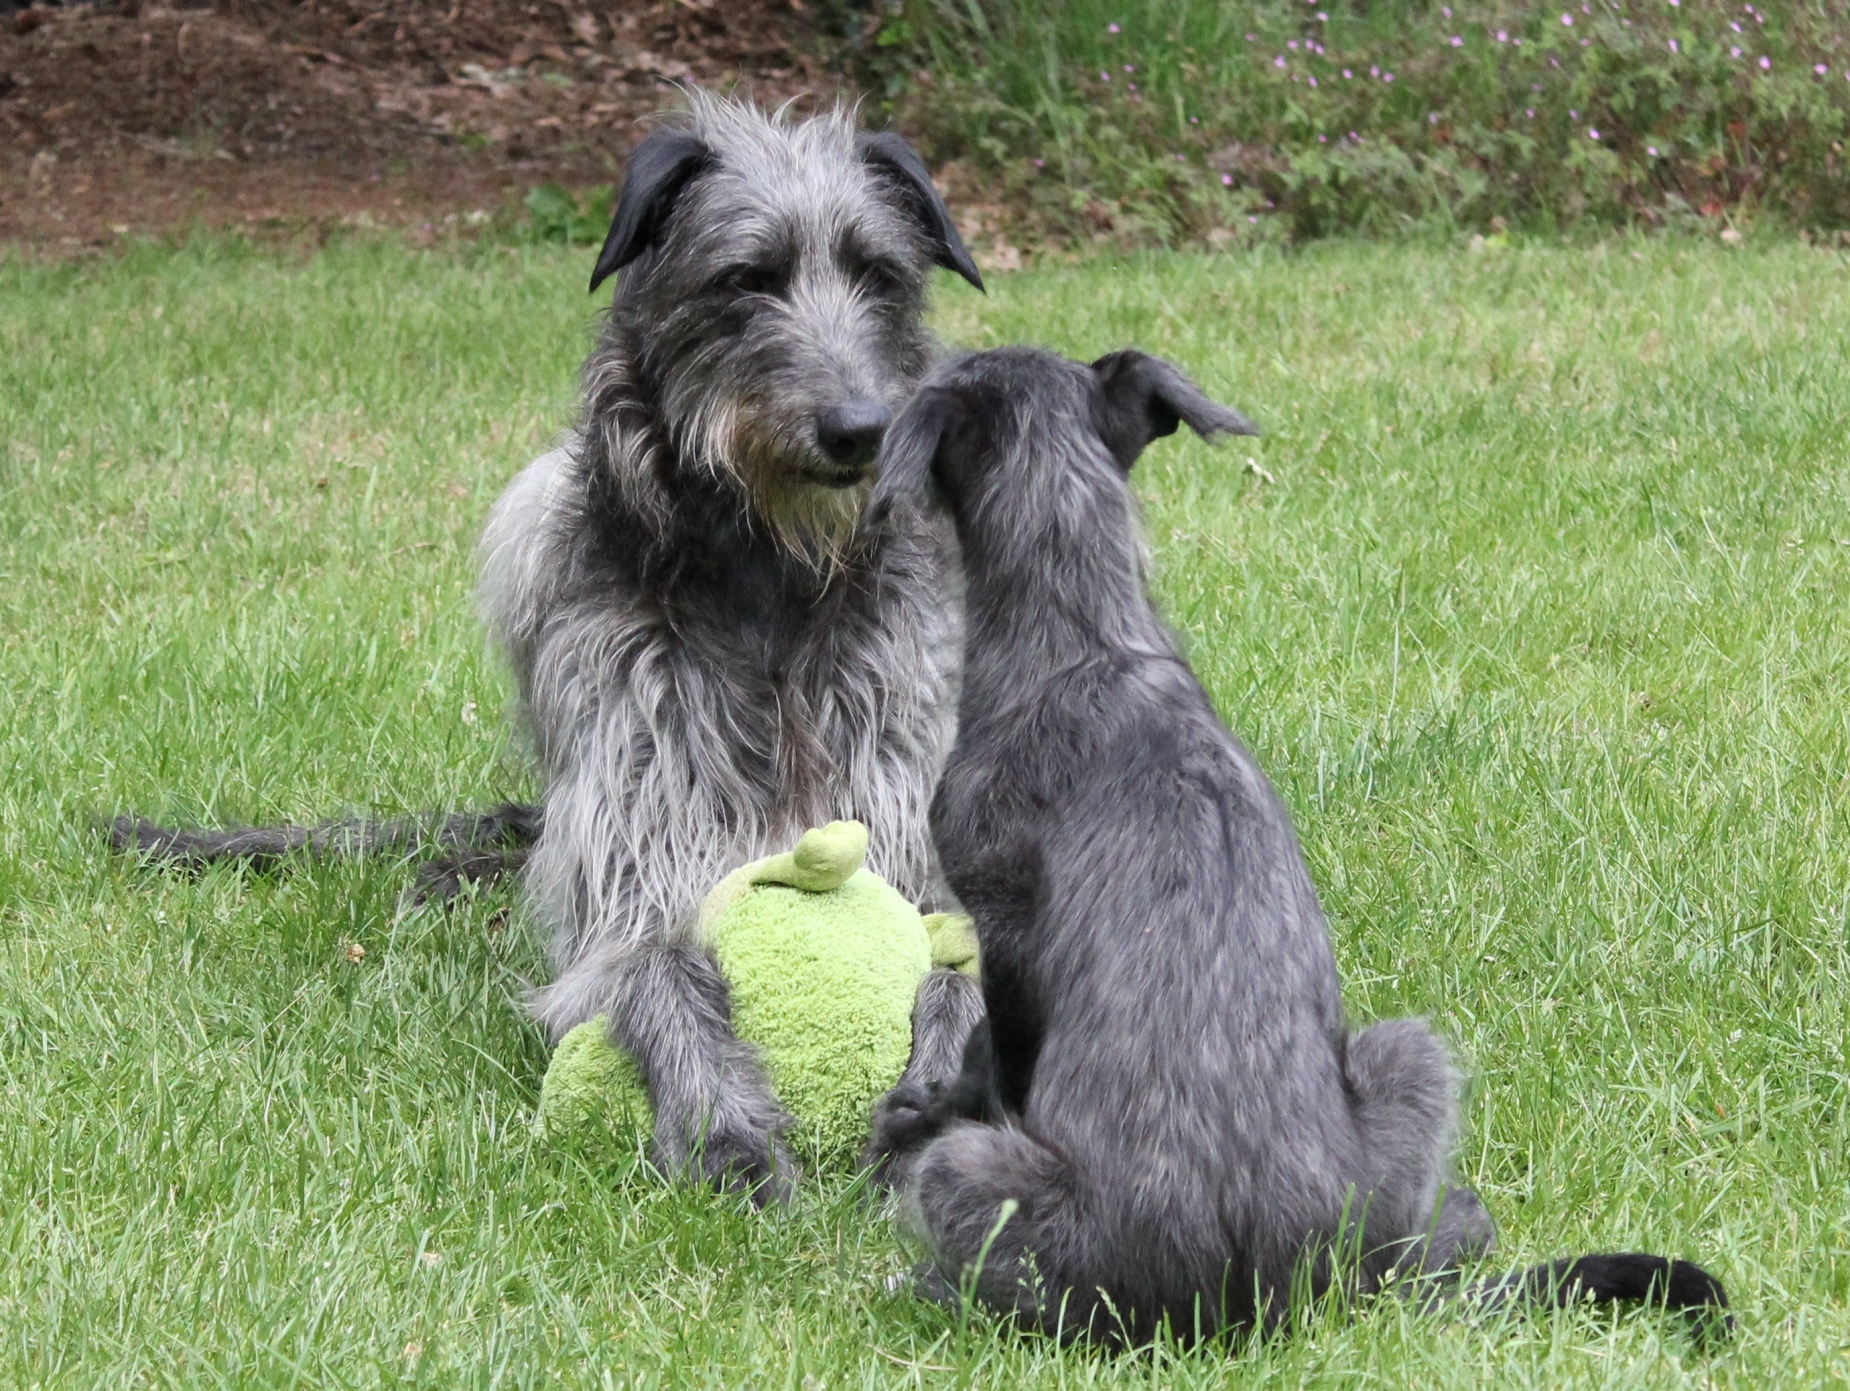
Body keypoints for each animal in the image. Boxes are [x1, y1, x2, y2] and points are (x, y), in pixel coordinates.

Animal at [114, 95, 990, 1201]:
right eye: (746, 278)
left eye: (879, 274)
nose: (860, 431)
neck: (774, 583)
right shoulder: (634, 856)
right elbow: (652, 961)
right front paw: (728, 1132)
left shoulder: (908, 831)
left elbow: (958, 968)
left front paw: (937, 1096)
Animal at [860, 346, 1730, 1343]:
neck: (1085, 634)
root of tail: (1280, 1300)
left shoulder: (999, 927)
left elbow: (994, 1054)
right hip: (1405, 1057)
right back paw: (1457, 1222)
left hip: (977, 1180)